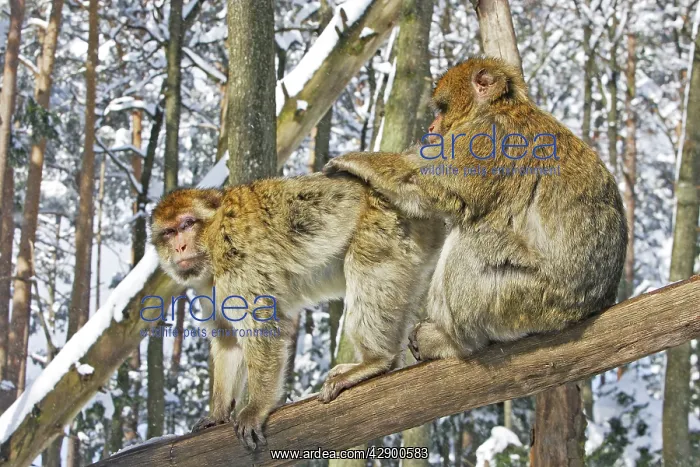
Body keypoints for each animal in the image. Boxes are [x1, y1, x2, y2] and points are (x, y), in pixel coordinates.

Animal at [149, 173, 444, 450]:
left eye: (187, 224)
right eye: (169, 232)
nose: (179, 247)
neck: (212, 241)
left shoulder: (237, 258)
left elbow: (260, 326)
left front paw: (256, 408)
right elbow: (228, 340)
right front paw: (218, 414)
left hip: (384, 227)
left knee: (367, 268)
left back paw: (375, 360)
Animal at [323, 56, 627, 362]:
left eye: (443, 108)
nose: (432, 128)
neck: (500, 106)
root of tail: (590, 307)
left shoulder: (486, 136)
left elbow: (427, 183)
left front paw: (356, 160)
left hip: (527, 300)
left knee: (472, 243)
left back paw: (453, 341)